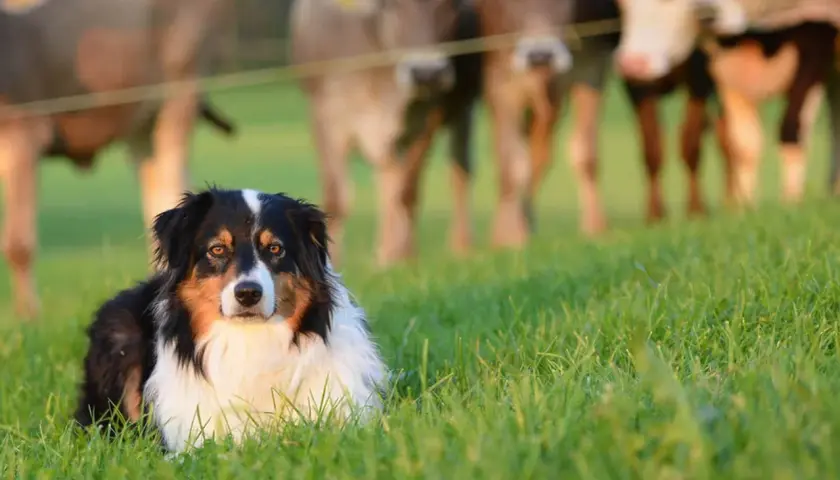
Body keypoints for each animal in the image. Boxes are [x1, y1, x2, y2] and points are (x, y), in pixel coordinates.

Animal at [290, 0, 482, 267]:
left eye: (451, 5)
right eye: (391, 5)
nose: (426, 73)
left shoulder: (428, 114)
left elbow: (407, 191)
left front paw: (403, 258)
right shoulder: (326, 116)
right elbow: (337, 198)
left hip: (463, 108)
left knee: (459, 173)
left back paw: (455, 247)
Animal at [615, 0, 840, 207]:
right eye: (623, 5)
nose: (633, 63)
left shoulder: (815, 37)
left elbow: (790, 129)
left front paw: (790, 203)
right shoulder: (728, 68)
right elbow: (745, 144)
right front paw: (746, 208)